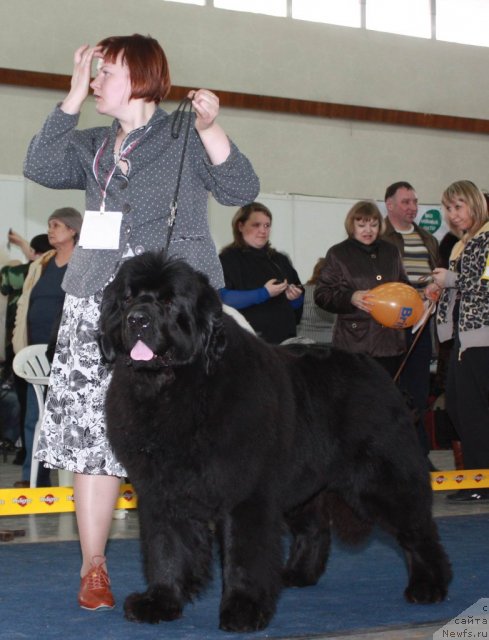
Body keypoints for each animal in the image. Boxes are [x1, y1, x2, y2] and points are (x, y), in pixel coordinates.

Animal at [98, 250, 450, 632]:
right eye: (128, 299)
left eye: (168, 301)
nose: (137, 319)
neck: (175, 387)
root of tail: (380, 372)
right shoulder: (162, 491)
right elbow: (166, 548)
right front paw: (160, 601)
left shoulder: (247, 494)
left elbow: (244, 553)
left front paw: (243, 609)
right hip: (302, 483)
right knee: (315, 529)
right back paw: (297, 574)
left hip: (381, 478)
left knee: (418, 528)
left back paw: (429, 585)